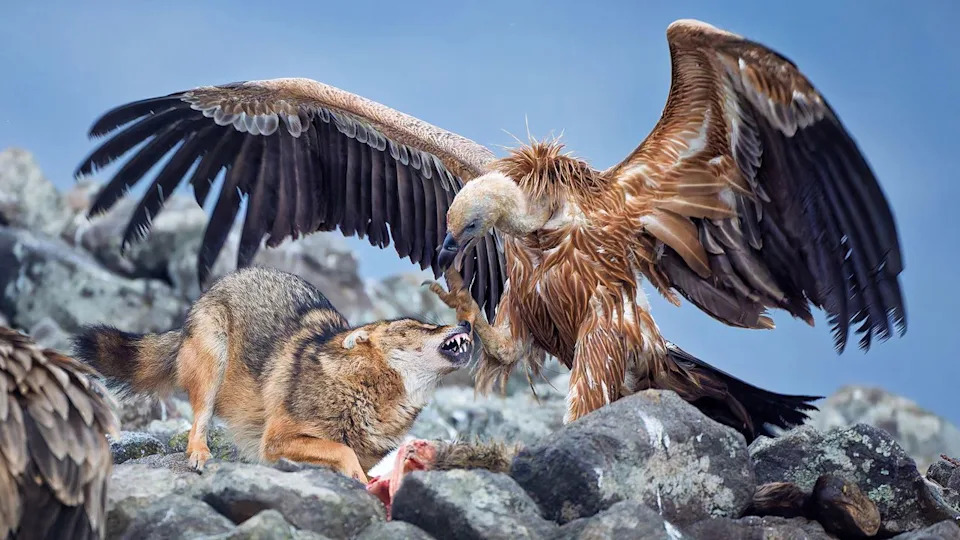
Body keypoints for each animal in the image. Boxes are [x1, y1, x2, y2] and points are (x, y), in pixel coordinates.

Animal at [72, 266, 473, 482]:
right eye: (421, 325)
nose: (468, 322)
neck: (361, 392)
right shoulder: (276, 439)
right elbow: (341, 450)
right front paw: (359, 482)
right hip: (213, 362)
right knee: (197, 422)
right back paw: (200, 455)